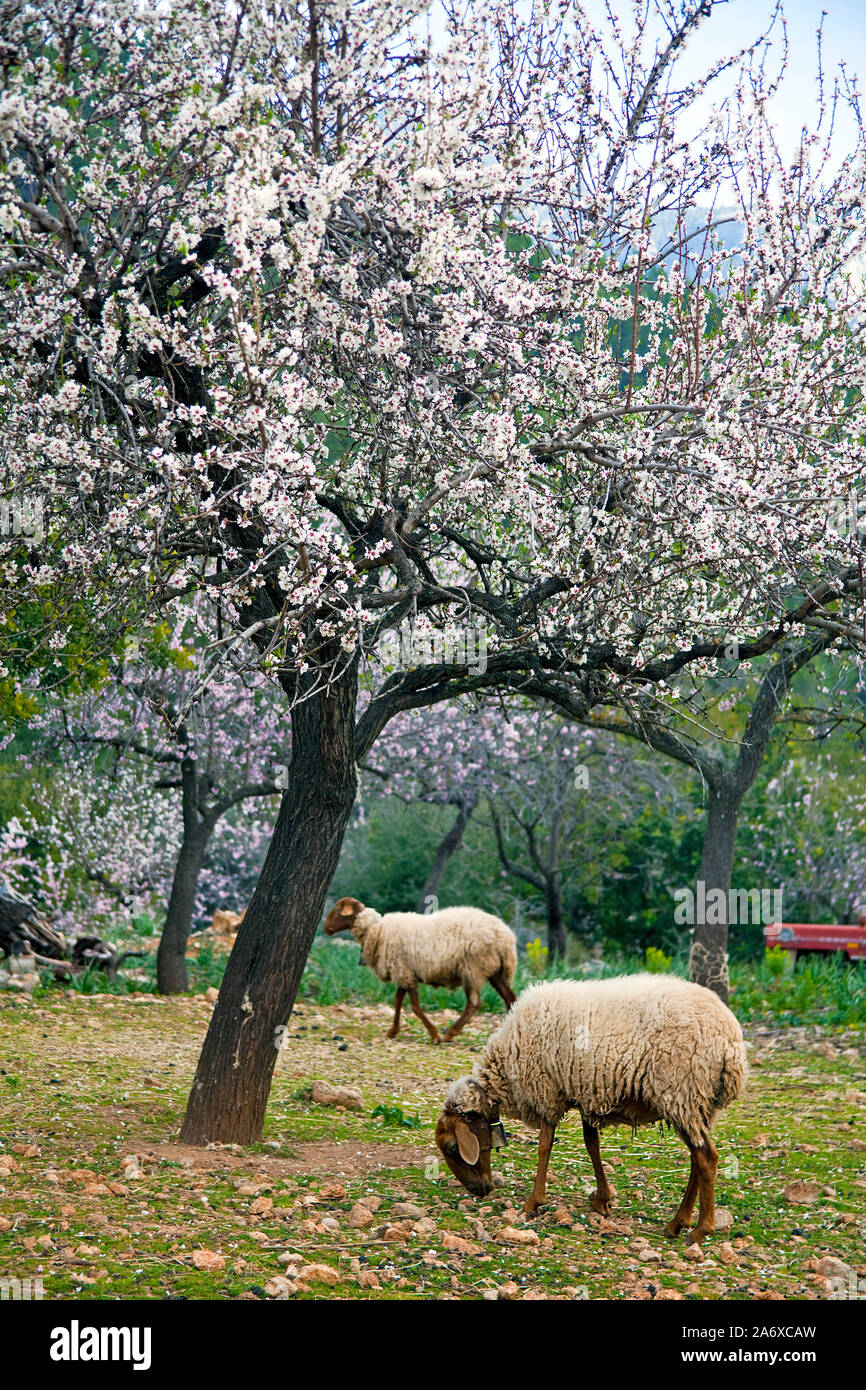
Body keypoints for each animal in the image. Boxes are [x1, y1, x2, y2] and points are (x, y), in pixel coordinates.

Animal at [323, 900, 514, 1045]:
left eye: (337, 910)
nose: (325, 927)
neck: (376, 930)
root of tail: (505, 937)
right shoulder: (403, 972)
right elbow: (397, 1002)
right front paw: (393, 1031)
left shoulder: (405, 972)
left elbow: (414, 1006)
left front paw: (434, 1035)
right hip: (494, 971)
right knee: (510, 999)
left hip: (473, 968)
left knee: (474, 1003)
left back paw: (449, 1034)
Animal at [436, 973, 750, 1245]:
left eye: (452, 1148)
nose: (479, 1191)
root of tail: (731, 1043)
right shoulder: (587, 1093)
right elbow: (591, 1145)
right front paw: (602, 1199)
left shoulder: (547, 1091)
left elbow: (545, 1146)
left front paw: (533, 1202)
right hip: (698, 1103)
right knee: (698, 1158)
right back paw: (678, 1222)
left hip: (682, 1093)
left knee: (706, 1158)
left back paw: (700, 1229)